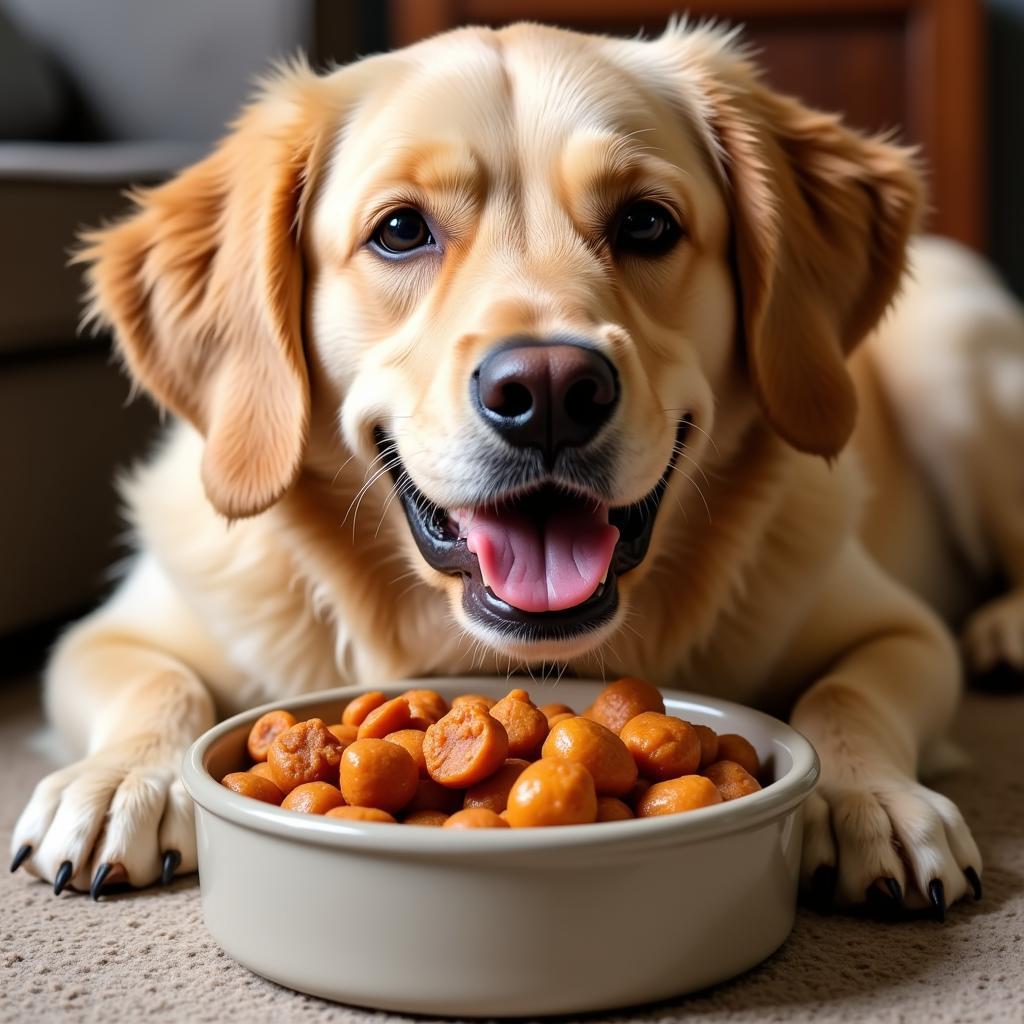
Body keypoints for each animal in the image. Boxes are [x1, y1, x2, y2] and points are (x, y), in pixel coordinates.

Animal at [9, 19, 1024, 913]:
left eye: (647, 222)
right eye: (399, 230)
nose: (549, 390)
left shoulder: (897, 629)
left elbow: (845, 696)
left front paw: (868, 800)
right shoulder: (111, 634)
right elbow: (158, 683)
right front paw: (119, 781)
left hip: (956, 356)